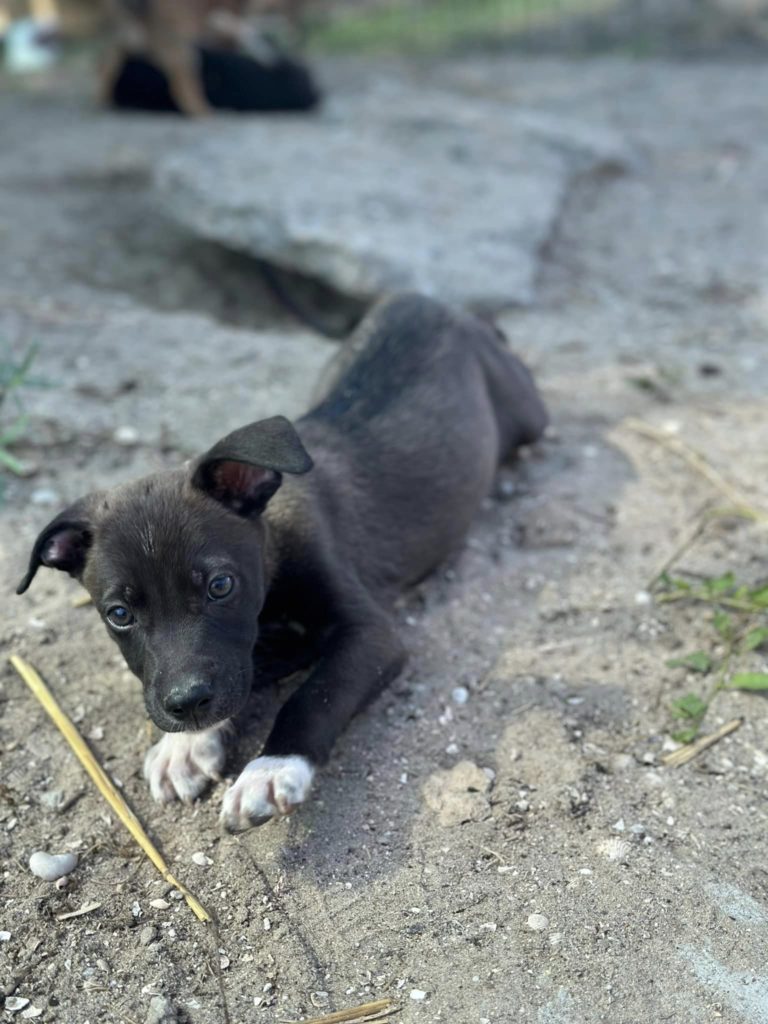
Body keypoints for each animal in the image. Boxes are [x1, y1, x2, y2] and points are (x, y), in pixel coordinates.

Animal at [18, 290, 548, 831]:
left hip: (526, 411)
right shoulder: (255, 651)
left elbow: (313, 695)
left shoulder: (371, 634)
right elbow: (242, 671)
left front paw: (269, 769)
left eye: (221, 586)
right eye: (119, 614)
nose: (186, 705)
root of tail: (425, 298)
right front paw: (185, 745)